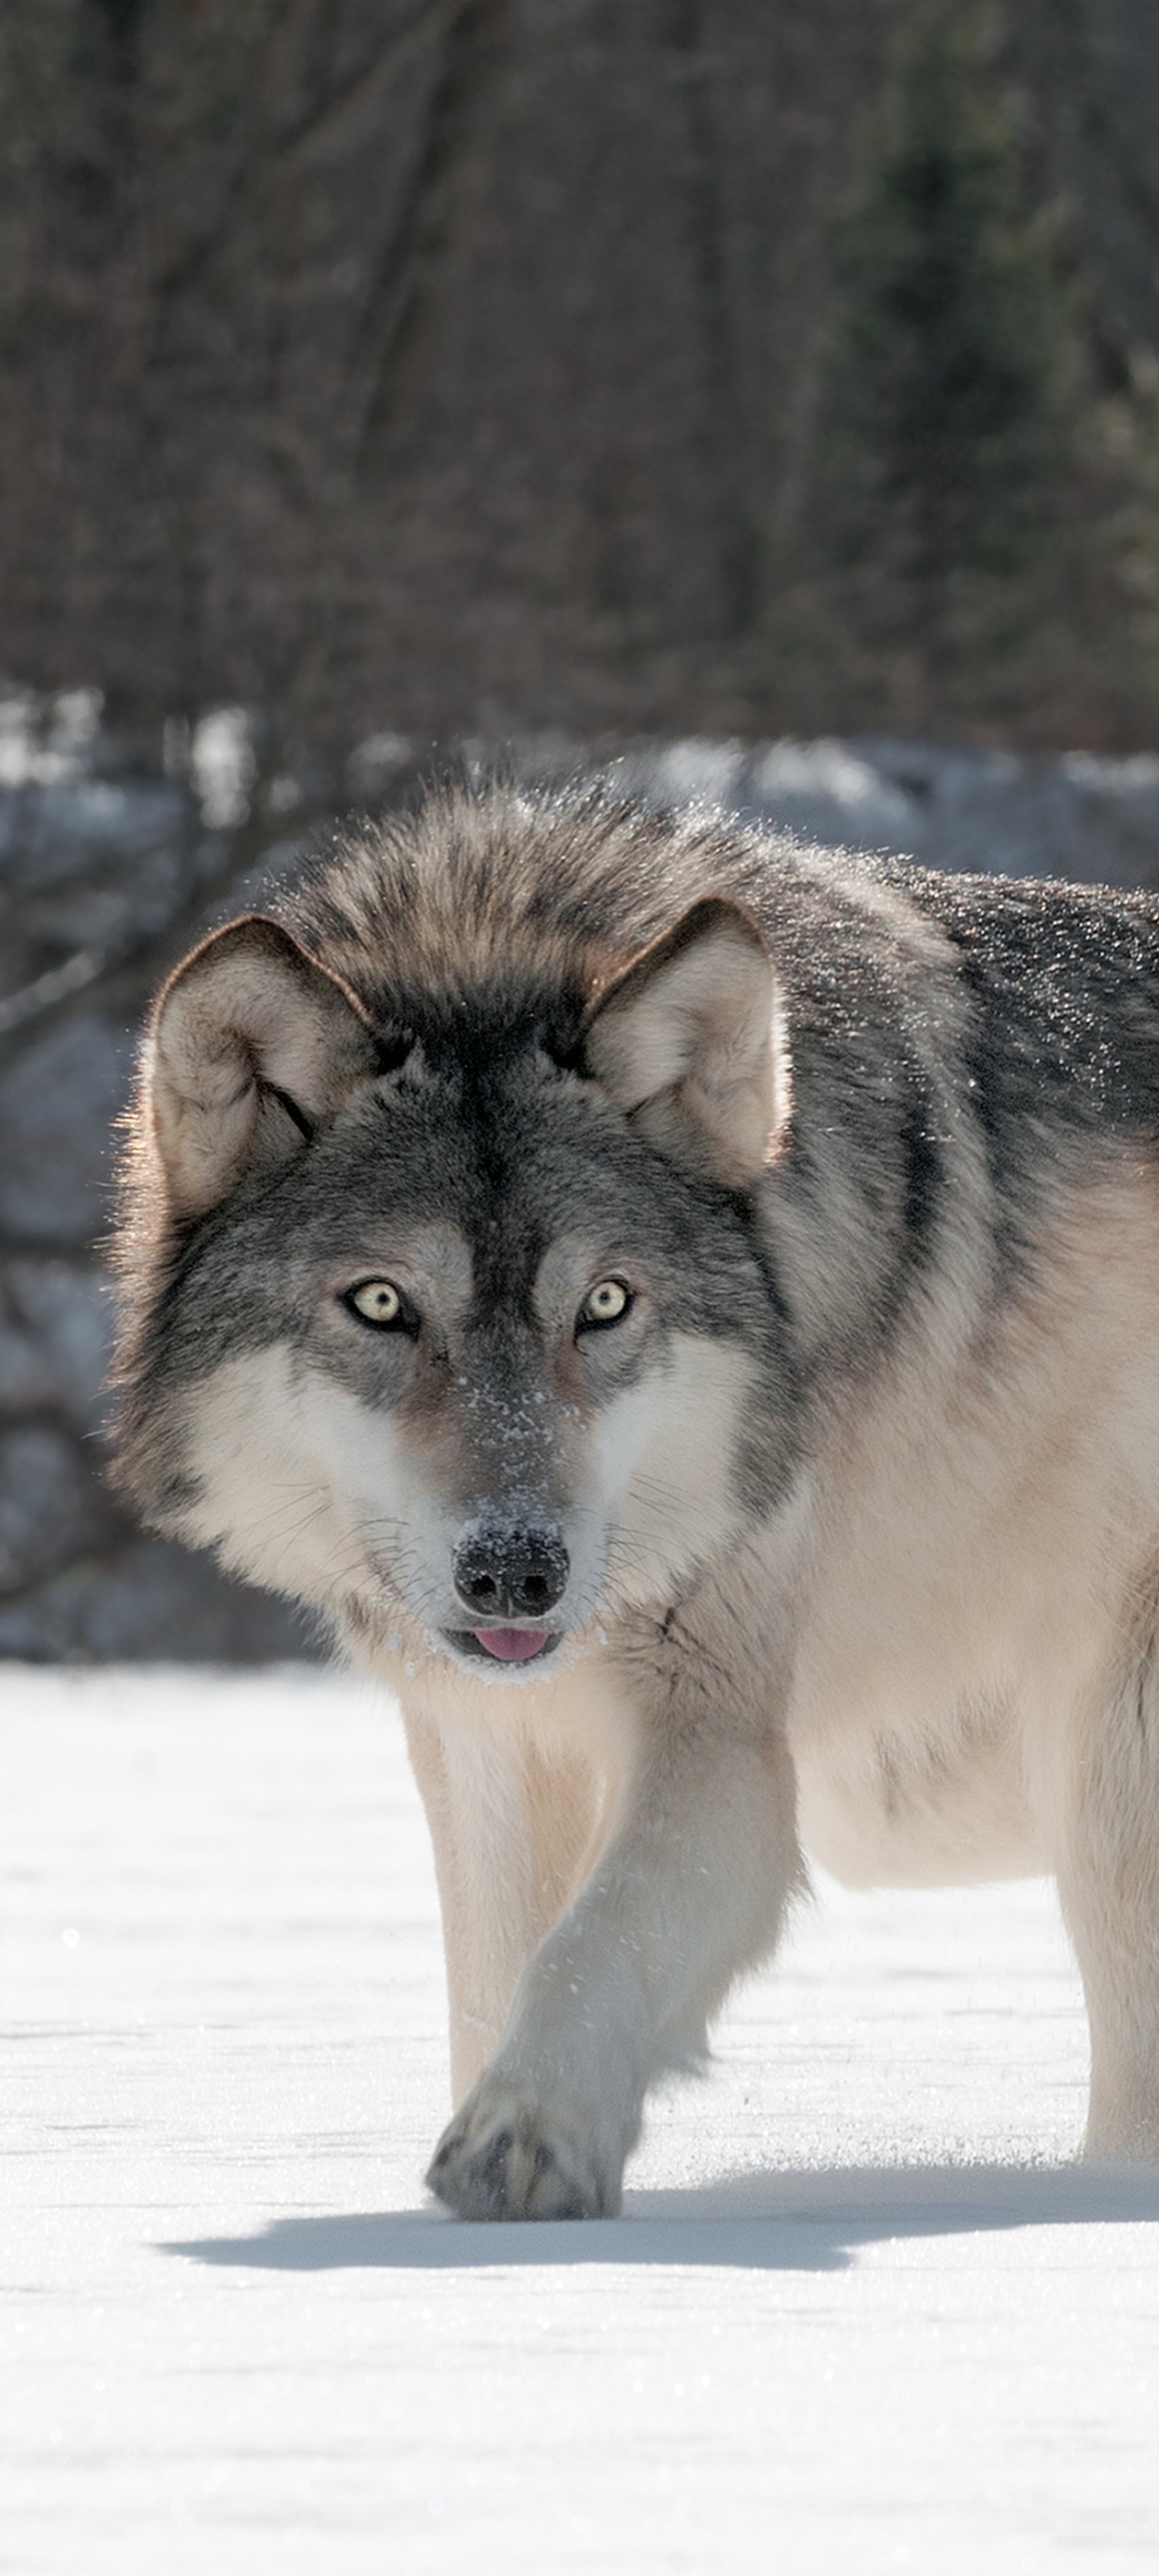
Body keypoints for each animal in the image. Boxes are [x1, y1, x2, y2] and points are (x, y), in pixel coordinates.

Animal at [109, 776, 1159, 2216]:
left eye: (604, 1305)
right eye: (382, 1304)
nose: (516, 1570)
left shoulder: (718, 1739)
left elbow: (590, 1947)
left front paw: (525, 2139)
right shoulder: (489, 1745)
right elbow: (493, 1979)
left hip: (1111, 1765)